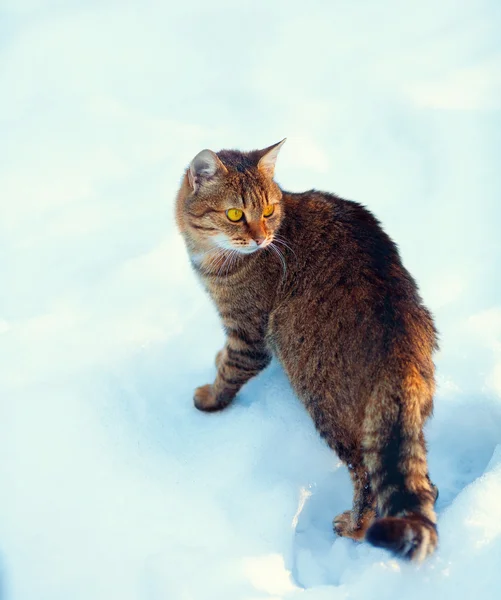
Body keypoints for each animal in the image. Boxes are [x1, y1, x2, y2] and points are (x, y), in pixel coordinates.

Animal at [175, 141, 438, 564]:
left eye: (268, 211)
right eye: (235, 214)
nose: (261, 238)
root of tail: (403, 347)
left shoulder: (249, 334)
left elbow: (230, 371)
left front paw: (210, 398)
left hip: (323, 399)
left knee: (367, 478)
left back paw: (354, 528)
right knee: (420, 480)